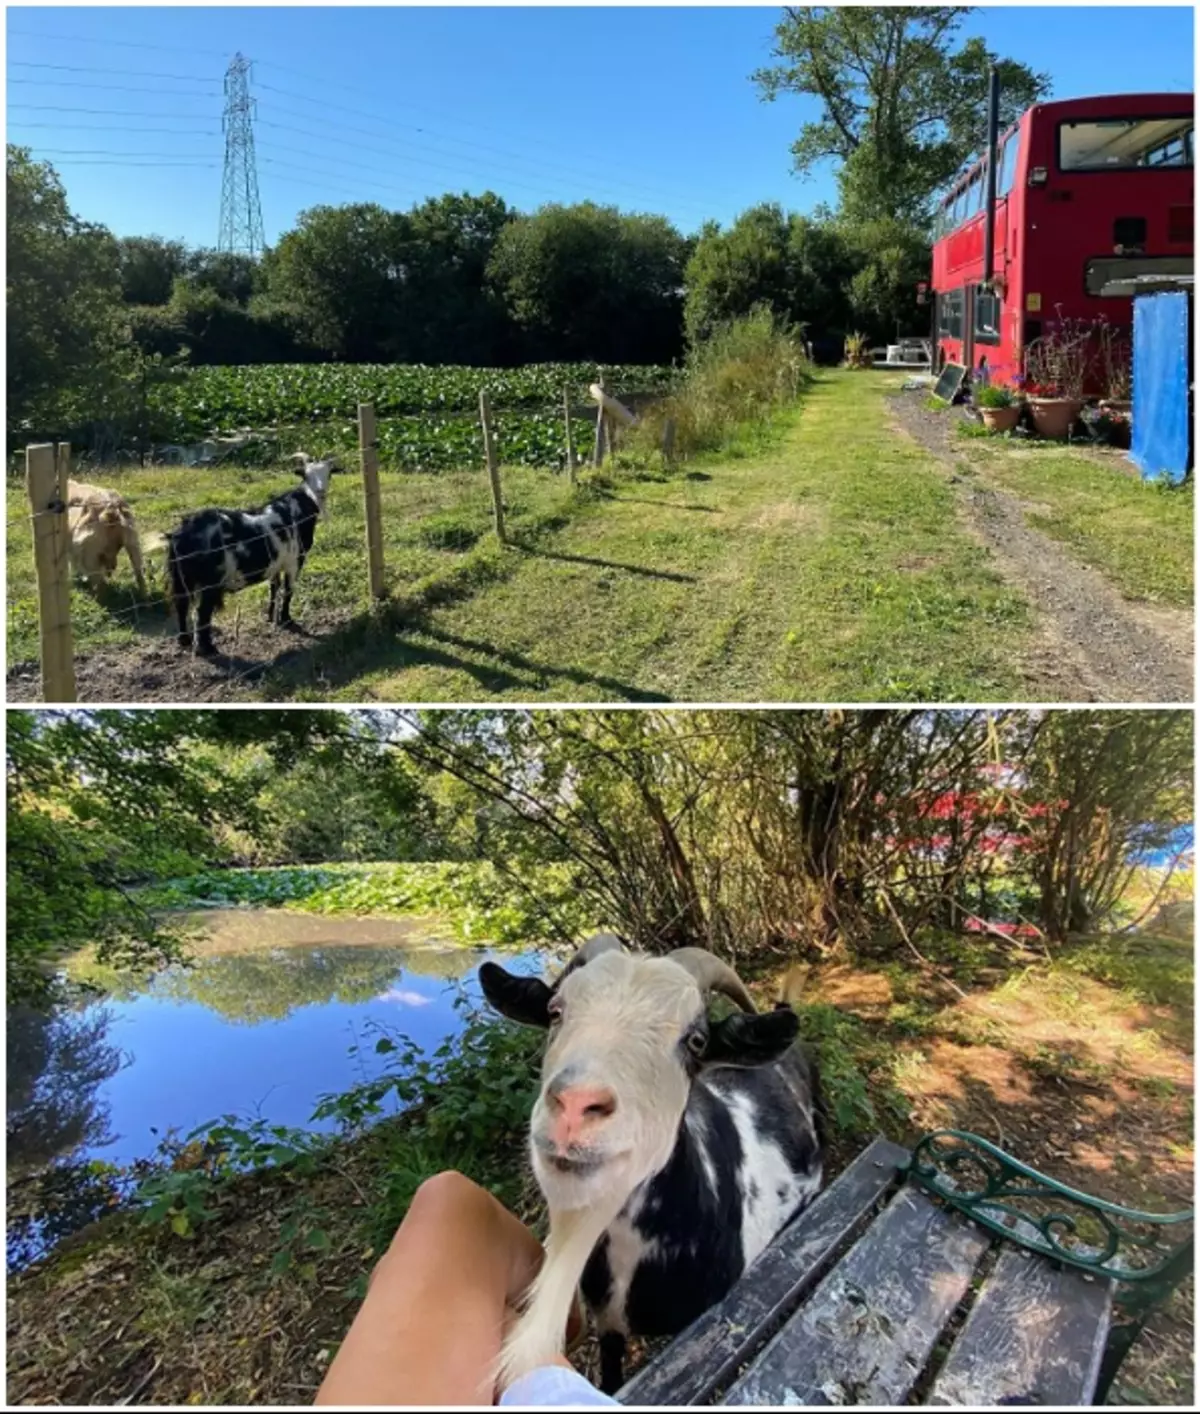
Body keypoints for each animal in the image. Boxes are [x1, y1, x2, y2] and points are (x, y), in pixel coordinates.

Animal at [163, 455, 342, 653]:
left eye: (328, 473)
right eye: (306, 475)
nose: (320, 491)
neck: (297, 508)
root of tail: (181, 534)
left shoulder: (275, 563)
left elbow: (274, 587)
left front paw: (271, 616)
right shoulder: (294, 561)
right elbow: (288, 590)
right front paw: (287, 619)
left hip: (180, 578)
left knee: (181, 605)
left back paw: (184, 640)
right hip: (209, 582)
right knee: (201, 613)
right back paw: (207, 648)